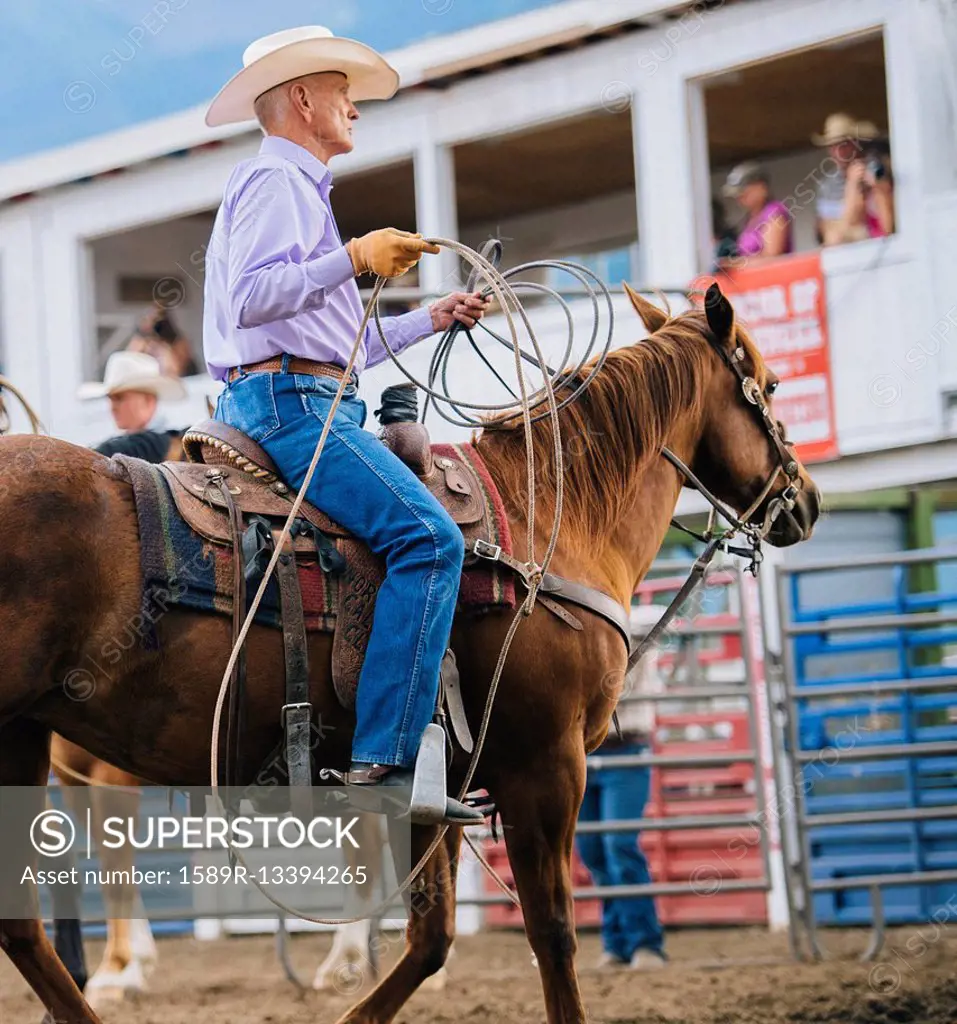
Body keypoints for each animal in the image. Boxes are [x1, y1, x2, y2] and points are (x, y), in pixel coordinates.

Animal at [1, 286, 822, 1024]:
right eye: (772, 384)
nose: (806, 499)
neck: (548, 517)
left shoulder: (441, 779)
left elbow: (431, 936)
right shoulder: (546, 766)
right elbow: (552, 932)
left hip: (22, 738)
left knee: (19, 922)